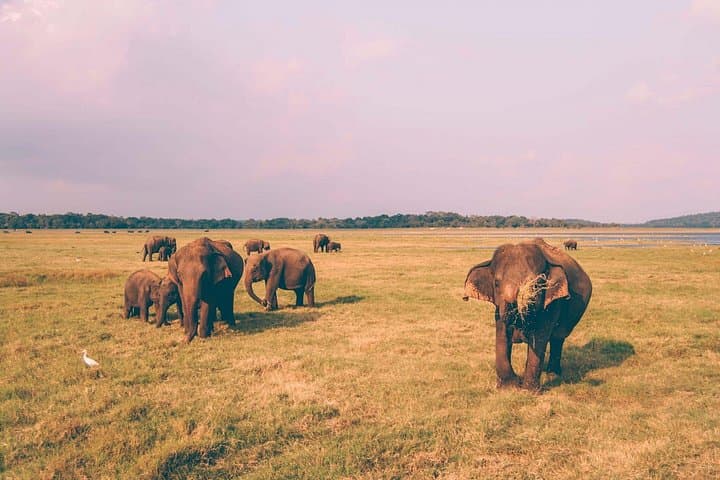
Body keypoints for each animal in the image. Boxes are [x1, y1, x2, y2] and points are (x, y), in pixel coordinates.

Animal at [462, 238, 592, 392]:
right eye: (496, 283)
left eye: (535, 285)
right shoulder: (499, 309)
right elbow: (501, 334)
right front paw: (509, 386)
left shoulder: (552, 303)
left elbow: (539, 338)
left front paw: (528, 390)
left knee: (558, 338)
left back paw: (552, 373)